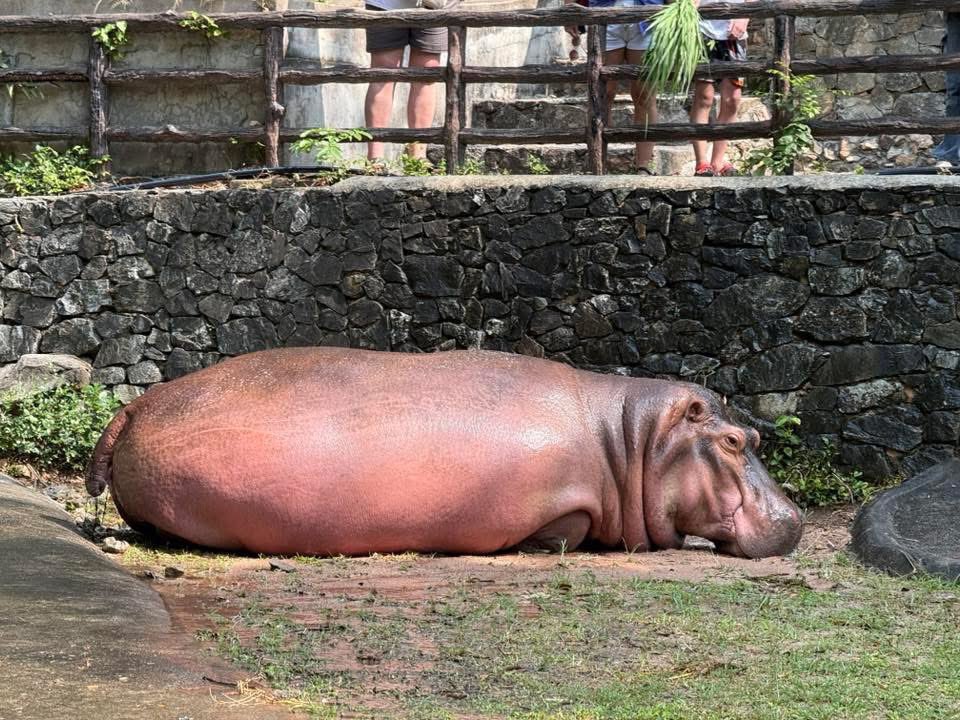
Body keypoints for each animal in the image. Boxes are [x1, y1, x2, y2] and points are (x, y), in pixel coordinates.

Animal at [87, 347, 802, 558]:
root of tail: (140, 402)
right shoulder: (563, 505)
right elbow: (566, 531)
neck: (629, 438)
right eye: (732, 441)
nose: (794, 519)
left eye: (758, 437)